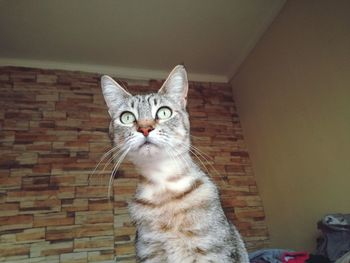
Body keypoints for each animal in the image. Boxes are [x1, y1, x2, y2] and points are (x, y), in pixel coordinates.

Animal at [100, 65, 250, 262]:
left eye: (164, 112)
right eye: (126, 117)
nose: (145, 128)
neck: (164, 188)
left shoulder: (213, 251)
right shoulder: (150, 252)